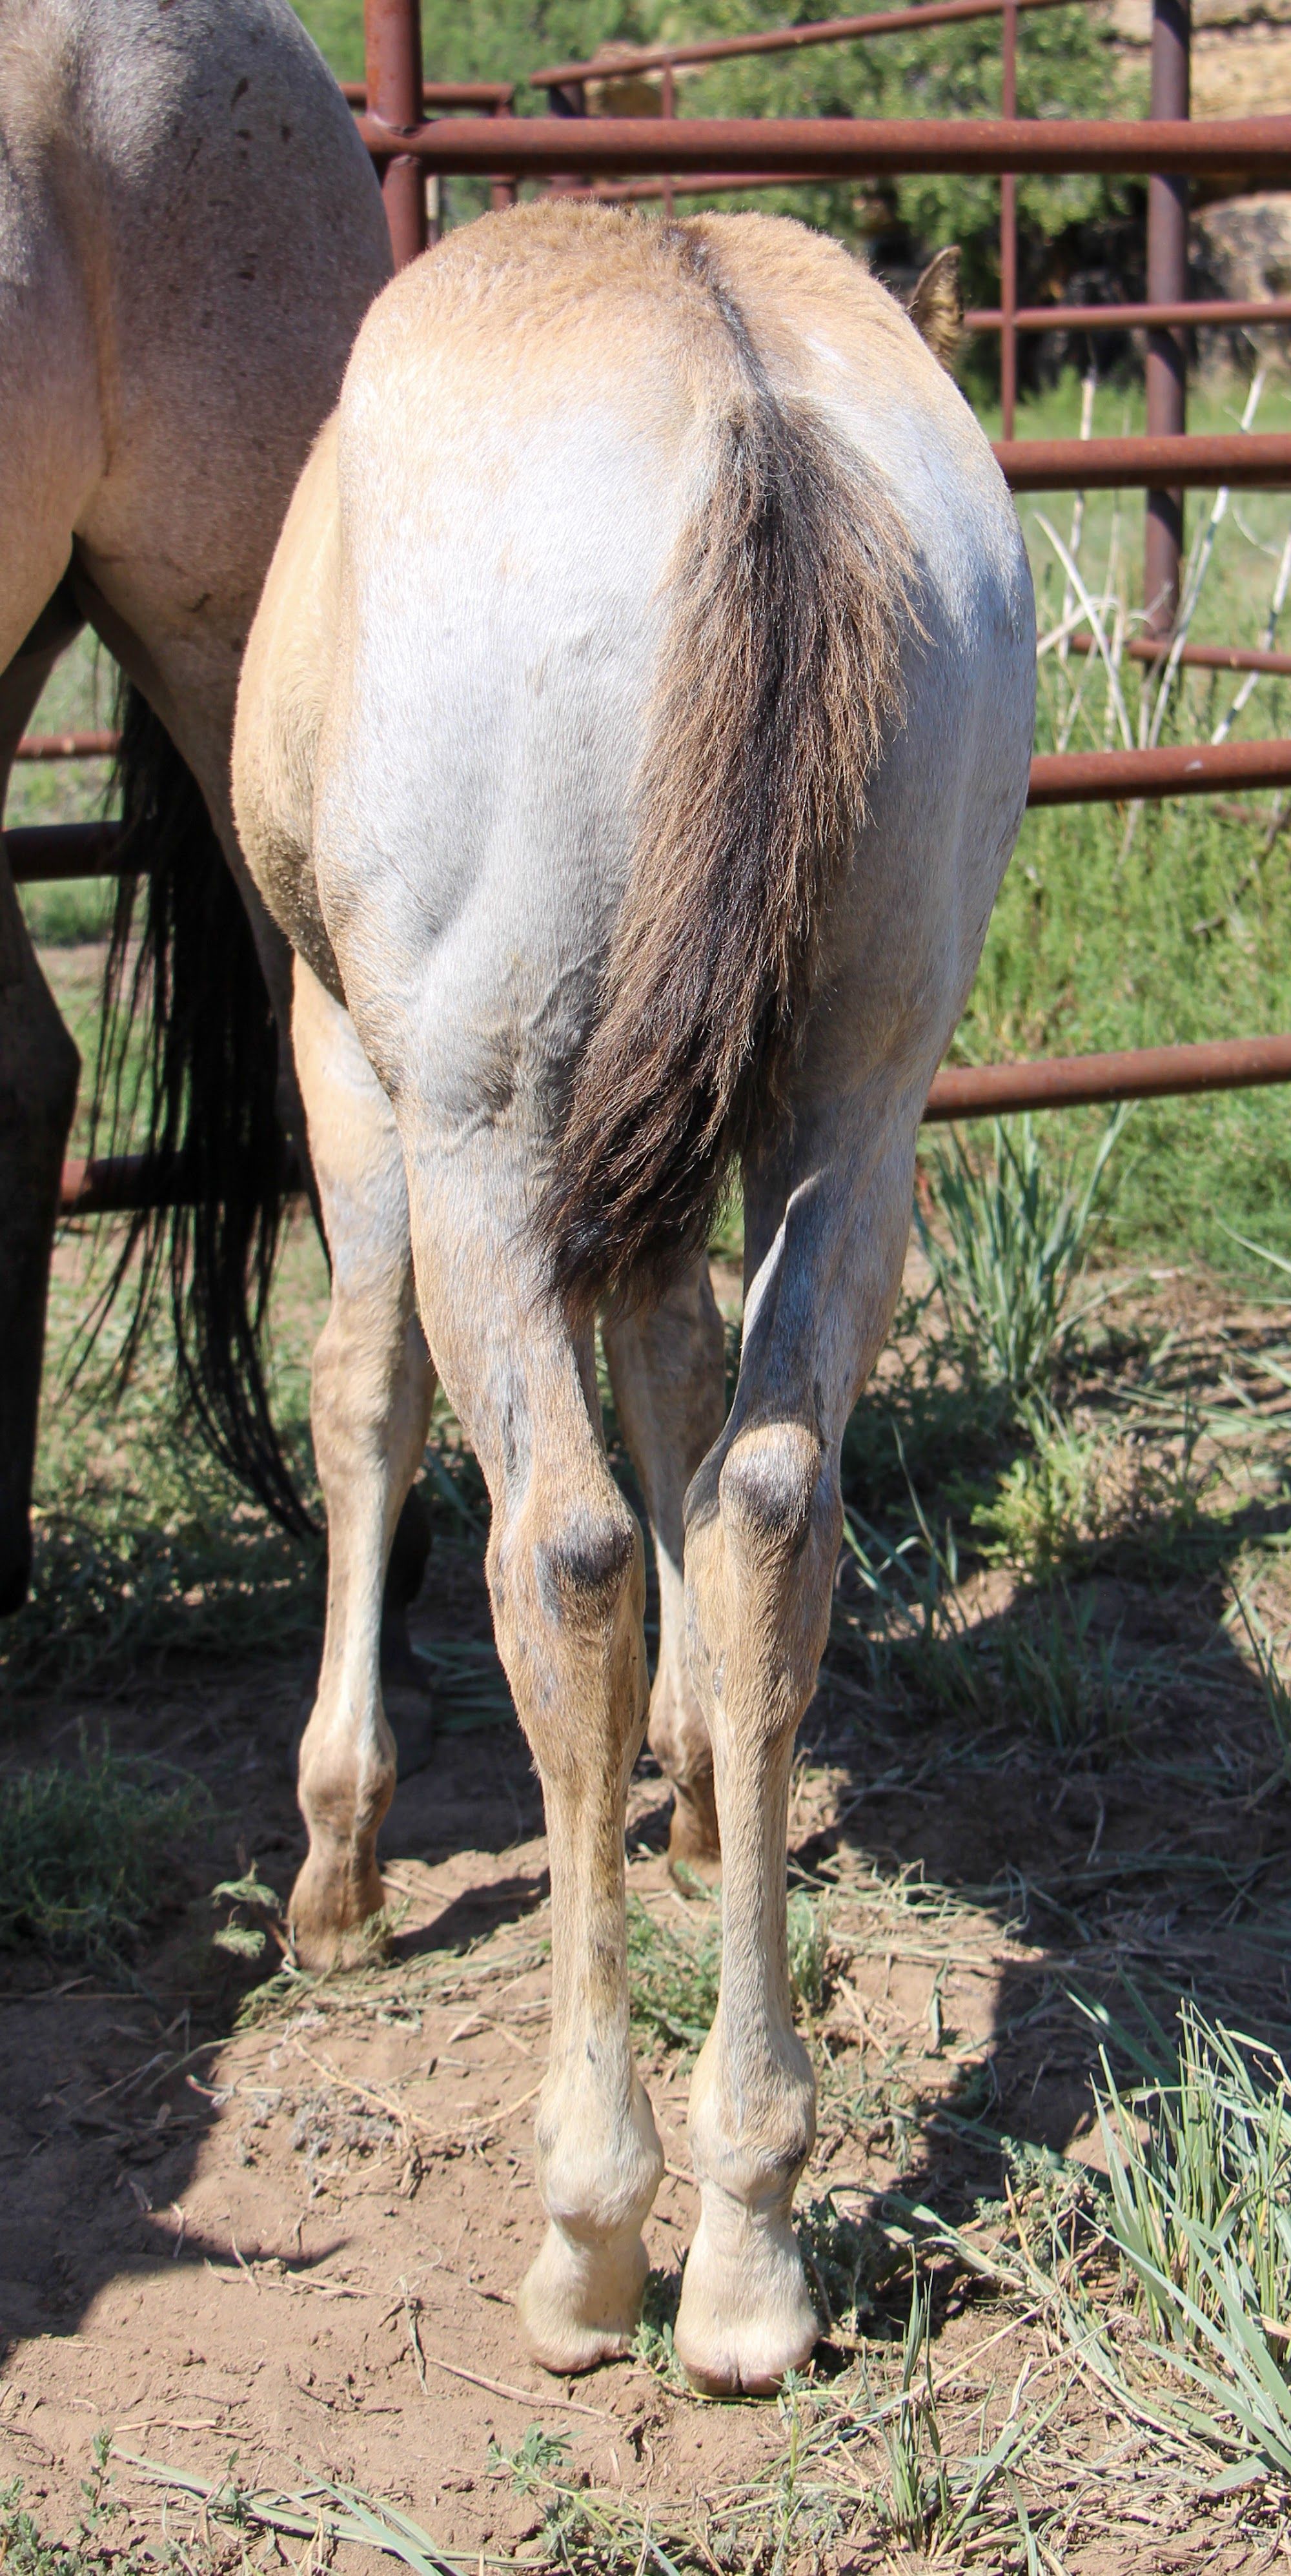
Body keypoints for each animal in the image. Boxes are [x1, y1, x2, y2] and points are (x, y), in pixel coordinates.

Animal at [233, 201, 1035, 2396]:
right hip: (861, 1085)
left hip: (480, 1111)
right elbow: (679, 1379)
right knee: (763, 1501)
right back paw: (753, 2235)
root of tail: (740, 392)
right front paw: (690, 1793)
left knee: (569, 1547)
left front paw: (335, 1857)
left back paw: (597, 2233)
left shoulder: (348, 1059)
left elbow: (363, 1398)